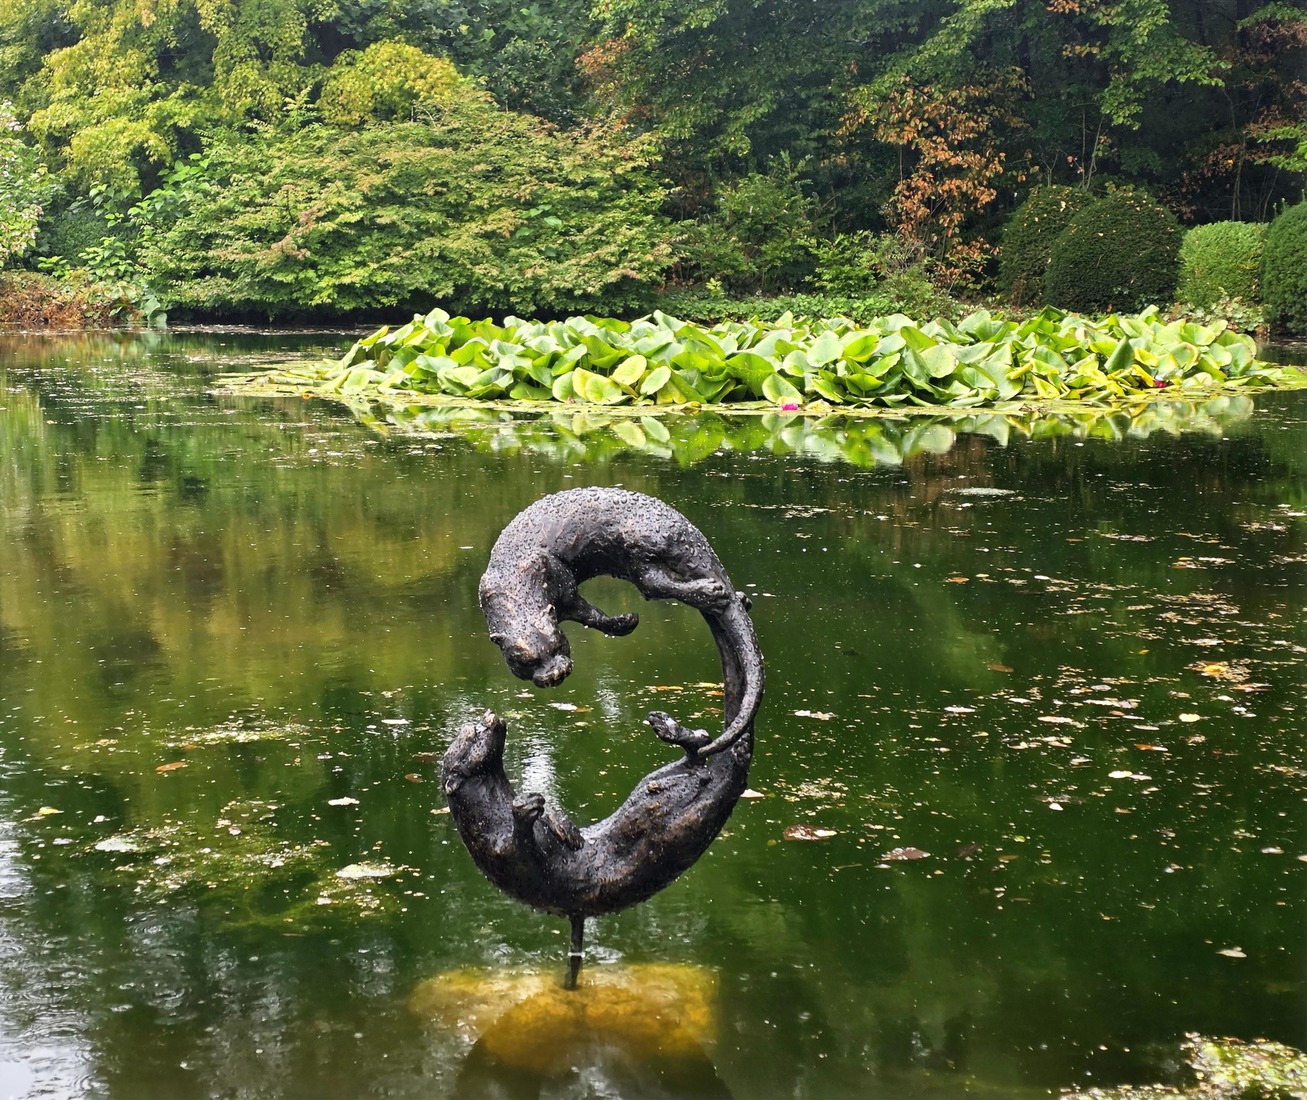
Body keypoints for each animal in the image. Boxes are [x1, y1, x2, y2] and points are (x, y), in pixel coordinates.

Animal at [477, 487, 763, 758]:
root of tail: (685, 529)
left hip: (638, 540)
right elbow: (591, 616)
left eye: (558, 645)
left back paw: (713, 592)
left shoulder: (559, 576)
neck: (514, 584)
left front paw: (625, 621)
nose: (555, 674)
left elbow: (586, 610)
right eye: (526, 662)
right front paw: (624, 622)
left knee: (651, 583)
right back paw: (737, 596)